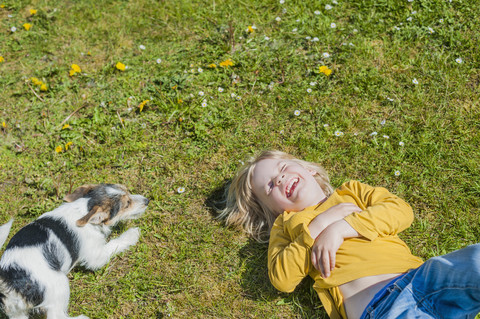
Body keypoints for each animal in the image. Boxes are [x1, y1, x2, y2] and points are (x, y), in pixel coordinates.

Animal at [0, 185, 149, 319]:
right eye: (127, 204)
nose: (147, 200)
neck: (84, 209)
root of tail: (8, 281)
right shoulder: (96, 256)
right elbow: (113, 244)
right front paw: (131, 234)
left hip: (16, 310)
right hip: (59, 283)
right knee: (56, 316)